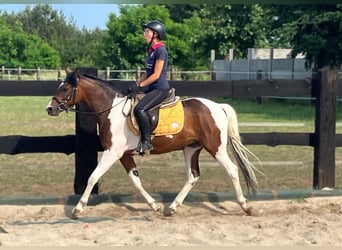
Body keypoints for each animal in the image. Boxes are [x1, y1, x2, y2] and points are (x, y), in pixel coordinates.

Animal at [44, 69, 260, 219]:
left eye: (65, 88)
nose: (49, 108)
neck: (111, 110)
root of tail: (217, 106)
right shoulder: (124, 155)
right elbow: (135, 180)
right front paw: (154, 205)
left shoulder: (112, 152)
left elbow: (92, 177)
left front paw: (78, 209)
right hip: (191, 149)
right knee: (193, 175)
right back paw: (171, 208)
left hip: (215, 148)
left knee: (232, 169)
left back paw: (246, 206)